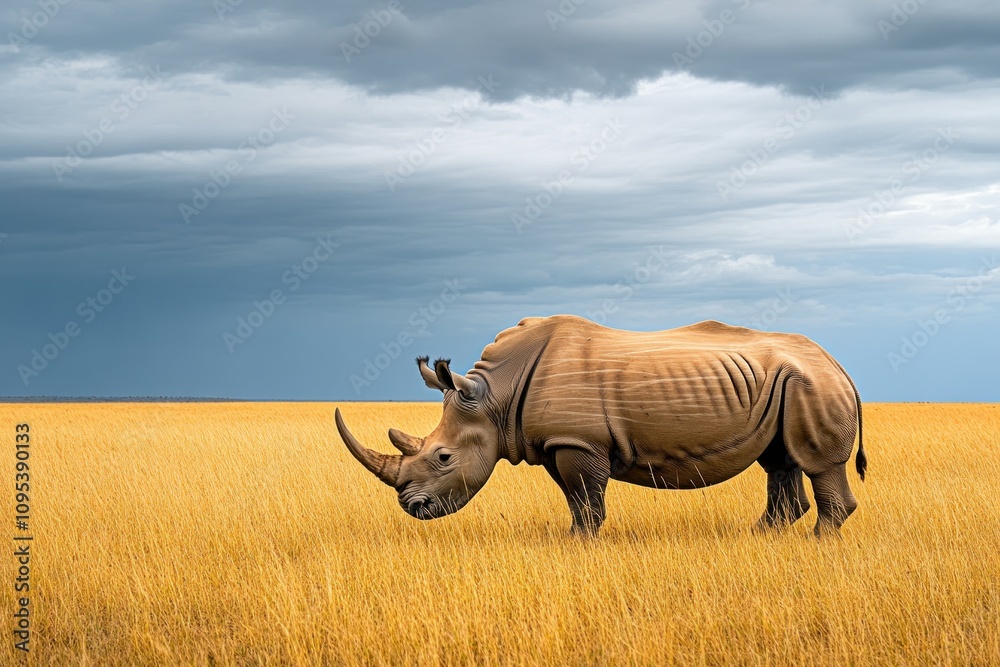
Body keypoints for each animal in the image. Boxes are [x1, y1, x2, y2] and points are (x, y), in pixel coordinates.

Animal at [335, 315, 867, 537]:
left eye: (443, 457)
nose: (412, 507)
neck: (496, 396)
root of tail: (838, 363)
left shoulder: (579, 441)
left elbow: (587, 497)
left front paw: (582, 544)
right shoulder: (555, 442)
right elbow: (574, 498)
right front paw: (572, 537)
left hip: (812, 383)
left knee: (815, 462)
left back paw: (818, 542)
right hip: (787, 383)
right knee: (780, 460)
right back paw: (760, 538)